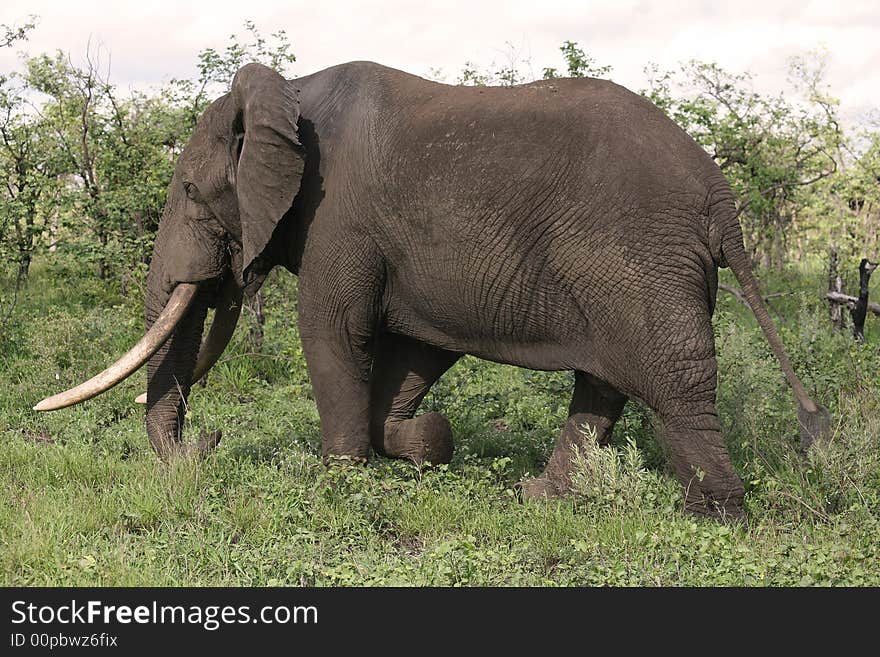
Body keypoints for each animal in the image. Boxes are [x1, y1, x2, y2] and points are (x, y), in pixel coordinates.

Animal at [36, 60, 832, 516]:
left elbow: (333, 330)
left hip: (641, 258)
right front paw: (427, 445)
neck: (285, 96)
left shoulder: (338, 212)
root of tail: (722, 199)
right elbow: (417, 348)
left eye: (191, 192)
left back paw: (716, 512)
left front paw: (341, 479)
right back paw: (540, 498)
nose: (207, 442)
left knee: (673, 380)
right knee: (604, 382)